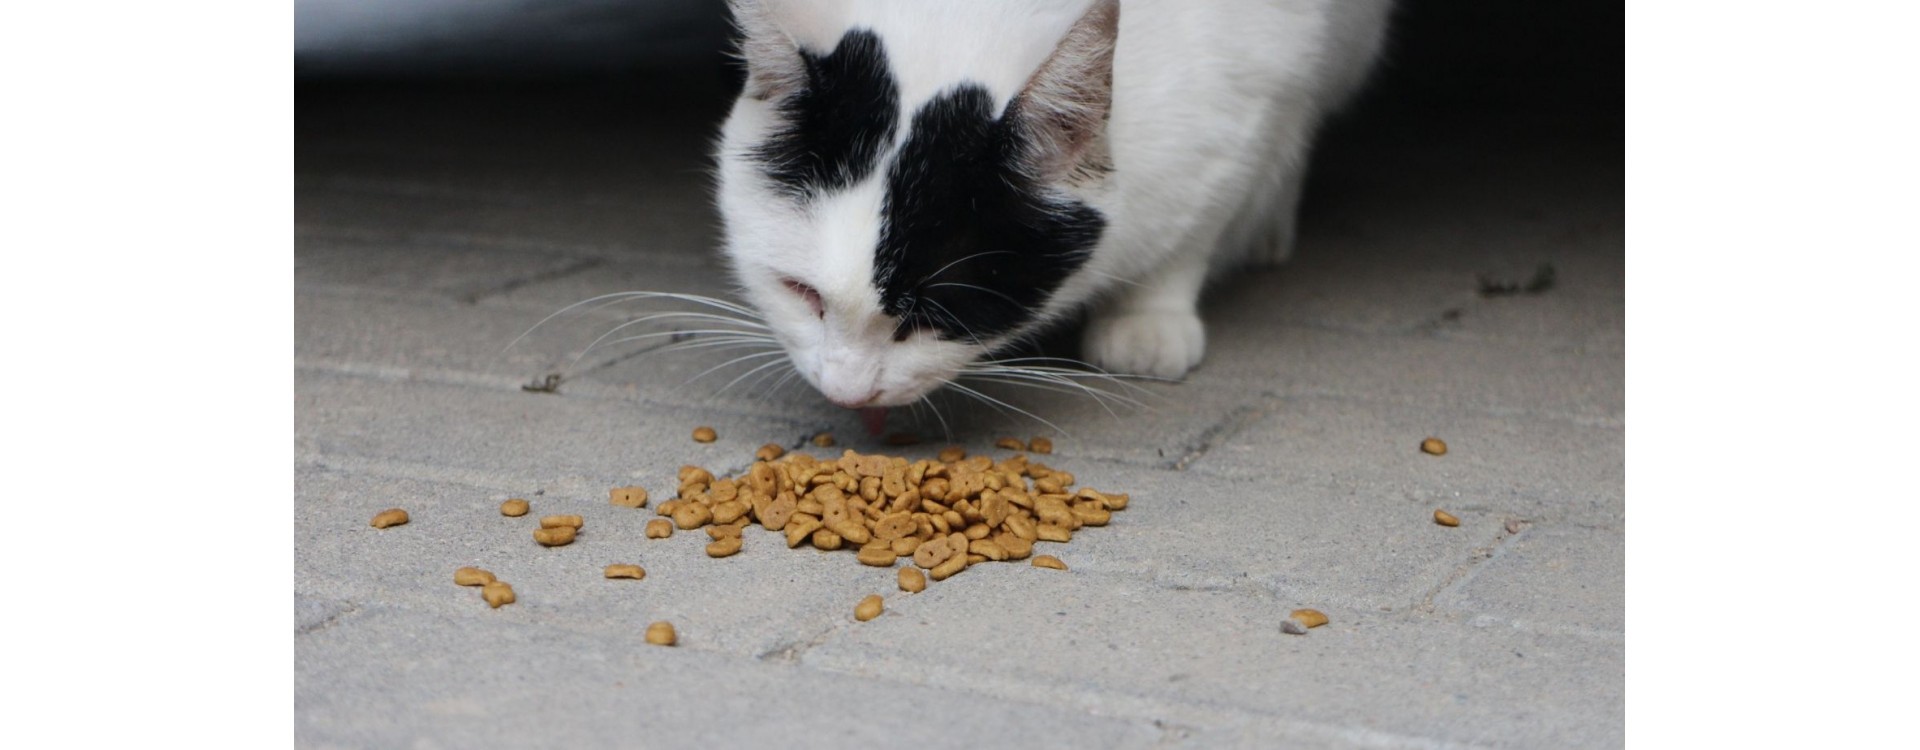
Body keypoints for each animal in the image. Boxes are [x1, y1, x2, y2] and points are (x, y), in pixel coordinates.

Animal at [714, 0, 1390, 410]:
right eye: (801, 292)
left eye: (936, 316)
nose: (847, 394)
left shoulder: (1261, 78)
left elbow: (1201, 217)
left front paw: (1149, 314)